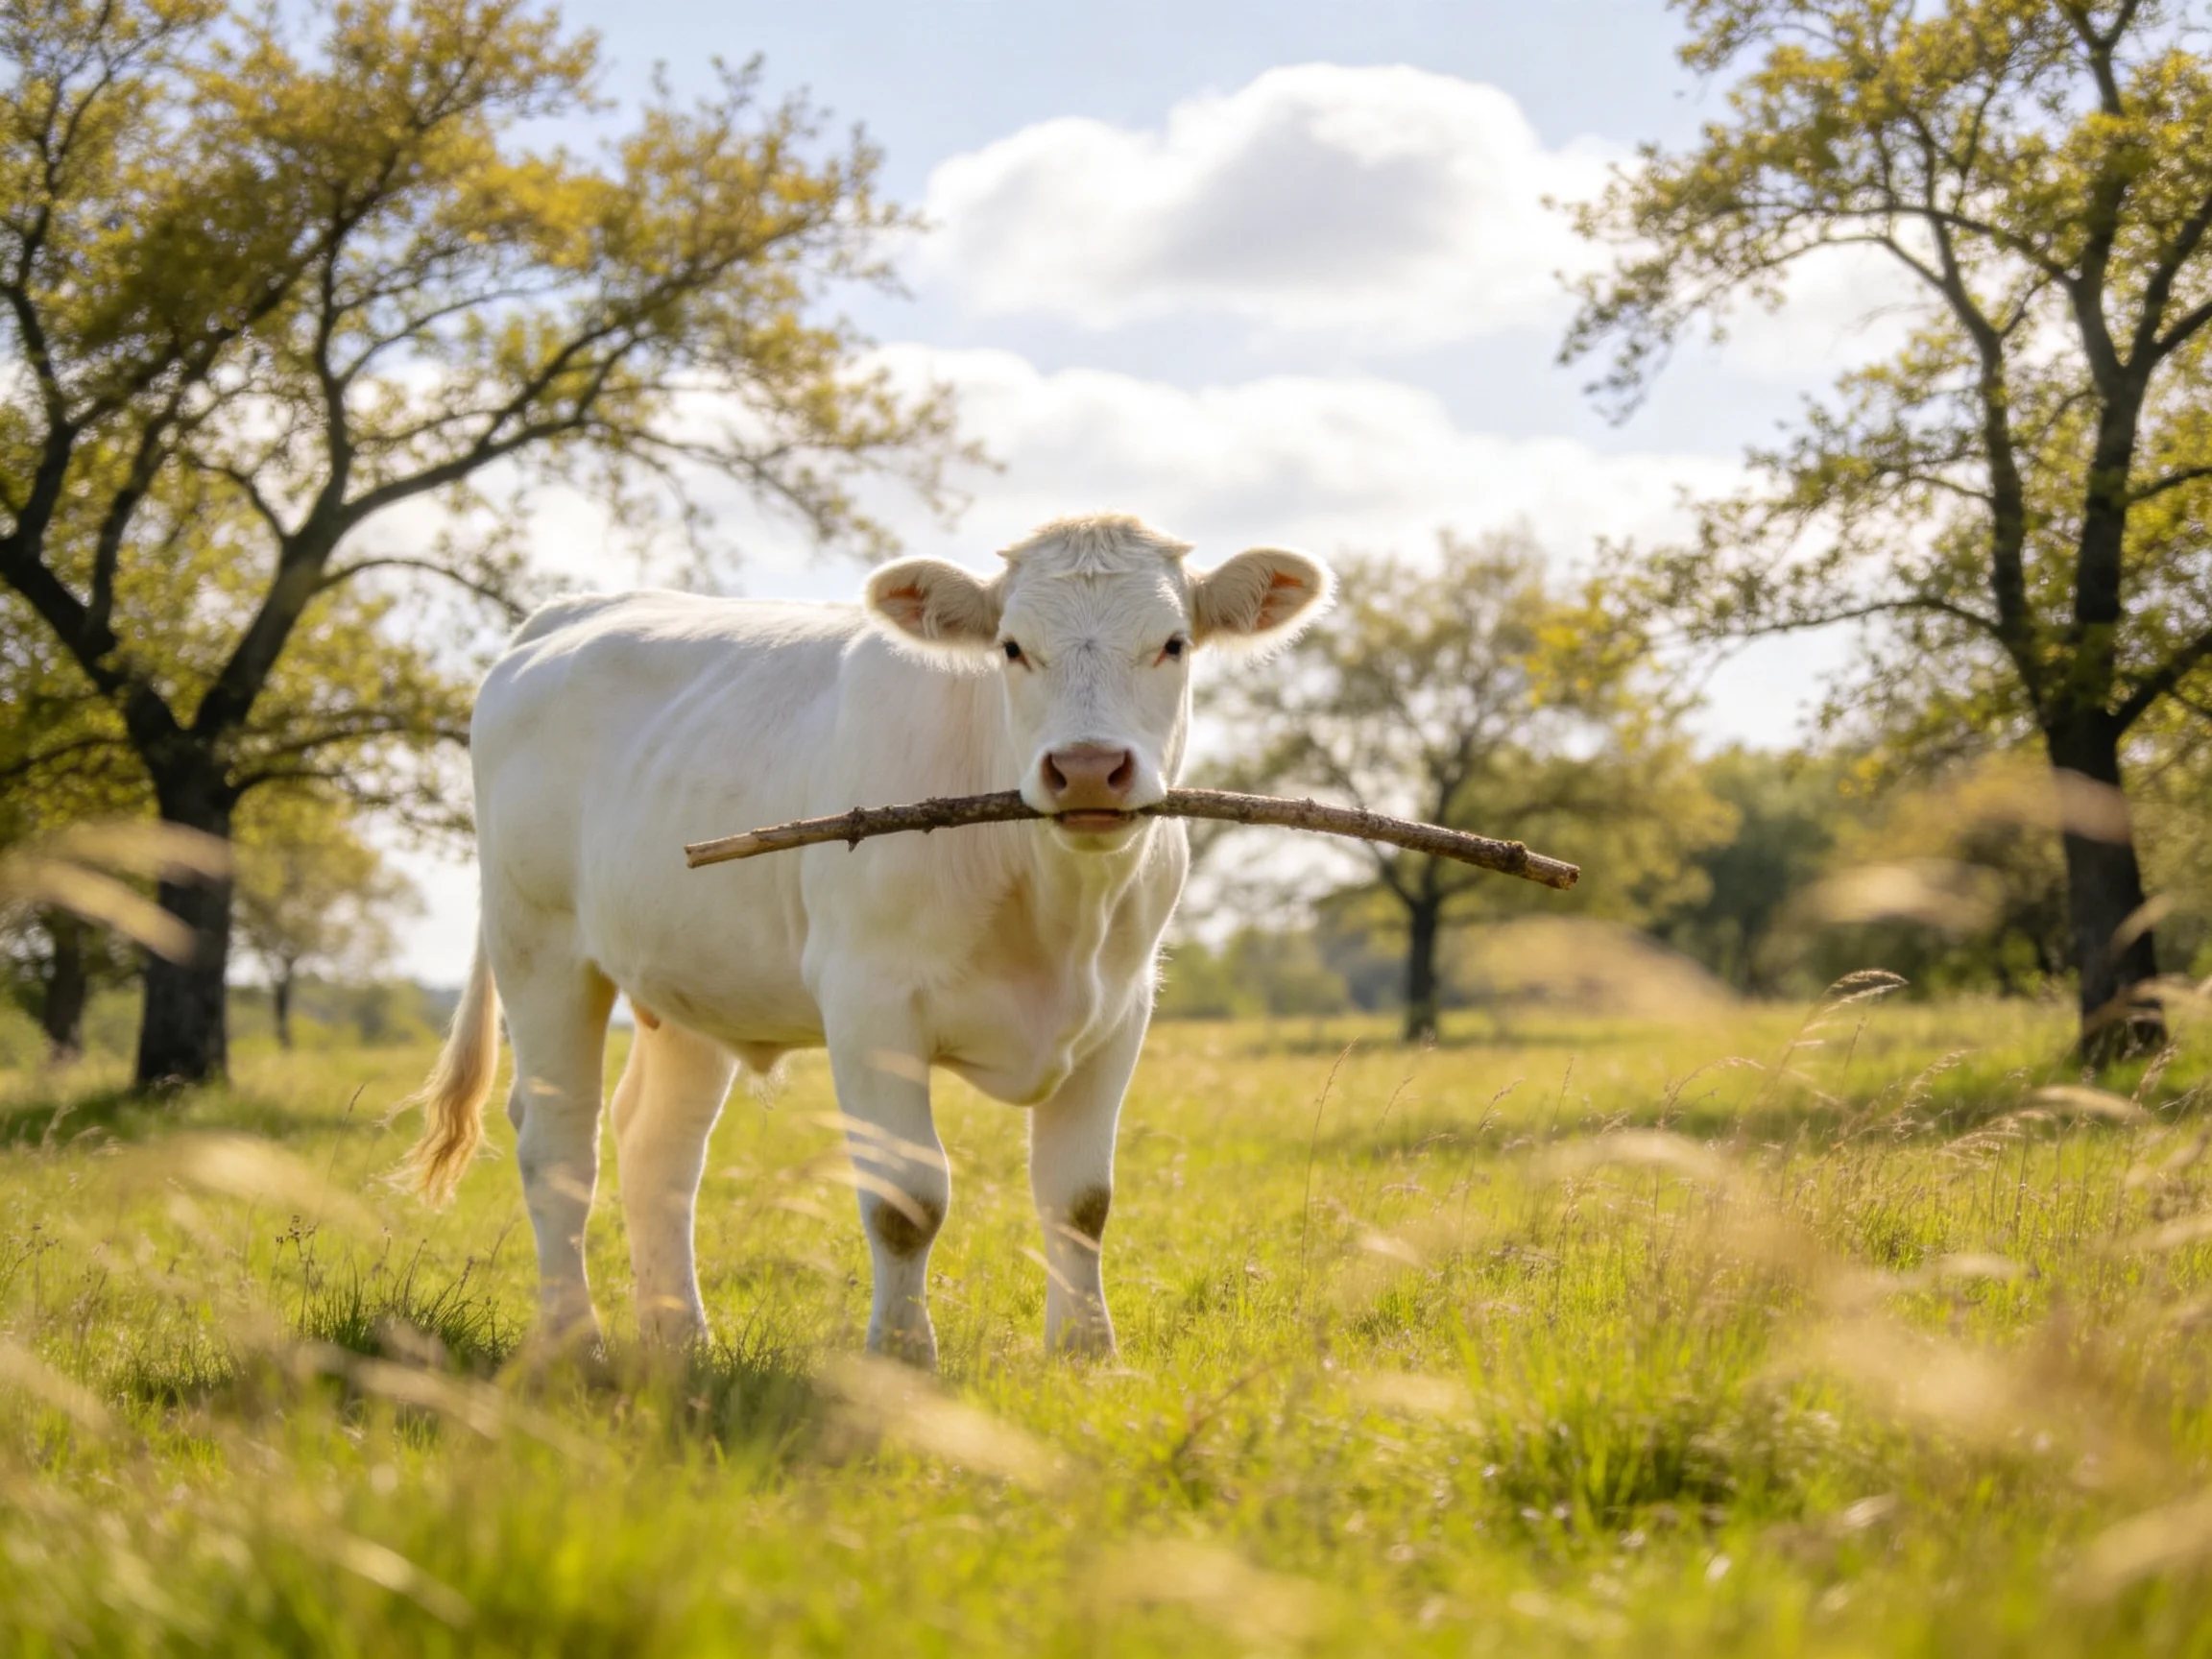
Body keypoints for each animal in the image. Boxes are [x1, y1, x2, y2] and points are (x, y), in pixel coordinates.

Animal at [405, 513, 1331, 1367]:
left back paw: (680, 1341)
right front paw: (902, 1357)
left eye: (1173, 643)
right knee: (557, 1147)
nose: (1088, 770)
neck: (1057, 911)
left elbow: (1080, 1200)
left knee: (658, 1148)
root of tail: (564, 615)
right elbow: (907, 1200)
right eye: (1012, 648)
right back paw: (575, 1344)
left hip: (688, 983)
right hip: (540, 949)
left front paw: (1086, 1355)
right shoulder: (868, 1005)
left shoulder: (1121, 1010)